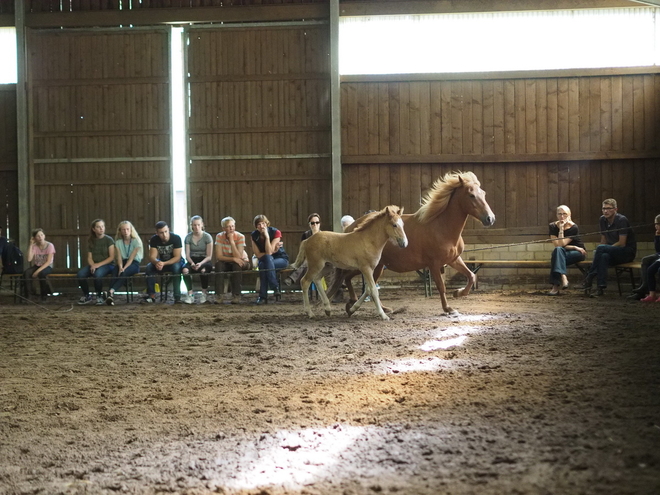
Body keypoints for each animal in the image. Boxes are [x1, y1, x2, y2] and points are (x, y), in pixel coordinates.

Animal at [328, 172, 492, 316]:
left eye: (484, 193)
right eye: (471, 195)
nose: (490, 218)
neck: (441, 226)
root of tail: (351, 227)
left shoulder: (453, 259)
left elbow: (471, 276)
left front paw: (458, 293)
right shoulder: (434, 264)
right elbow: (441, 286)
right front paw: (448, 308)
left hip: (377, 266)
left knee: (364, 284)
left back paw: (379, 308)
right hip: (364, 265)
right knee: (350, 279)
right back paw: (352, 303)